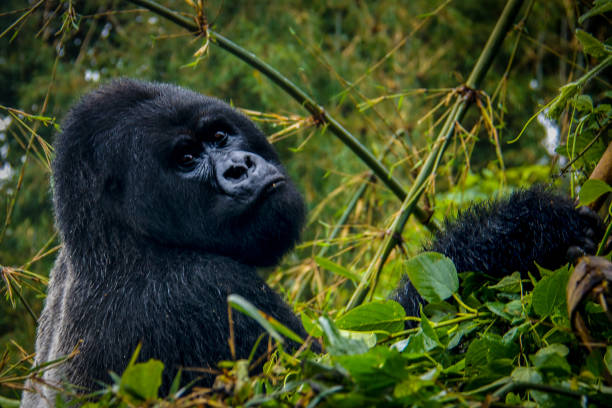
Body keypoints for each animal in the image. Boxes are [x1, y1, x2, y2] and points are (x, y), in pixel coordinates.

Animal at [20, 79, 604, 404]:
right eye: (185, 160)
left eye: (218, 136)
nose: (239, 167)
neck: (116, 241)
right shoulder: (203, 296)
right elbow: (388, 372)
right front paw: (518, 233)